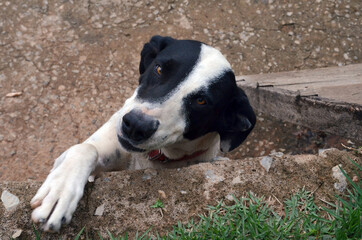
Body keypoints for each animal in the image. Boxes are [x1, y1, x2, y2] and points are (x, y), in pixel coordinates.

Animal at [31, 35, 258, 231]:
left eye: (201, 101)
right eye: (158, 69)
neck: (155, 157)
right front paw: (59, 192)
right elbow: (85, 149)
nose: (136, 125)